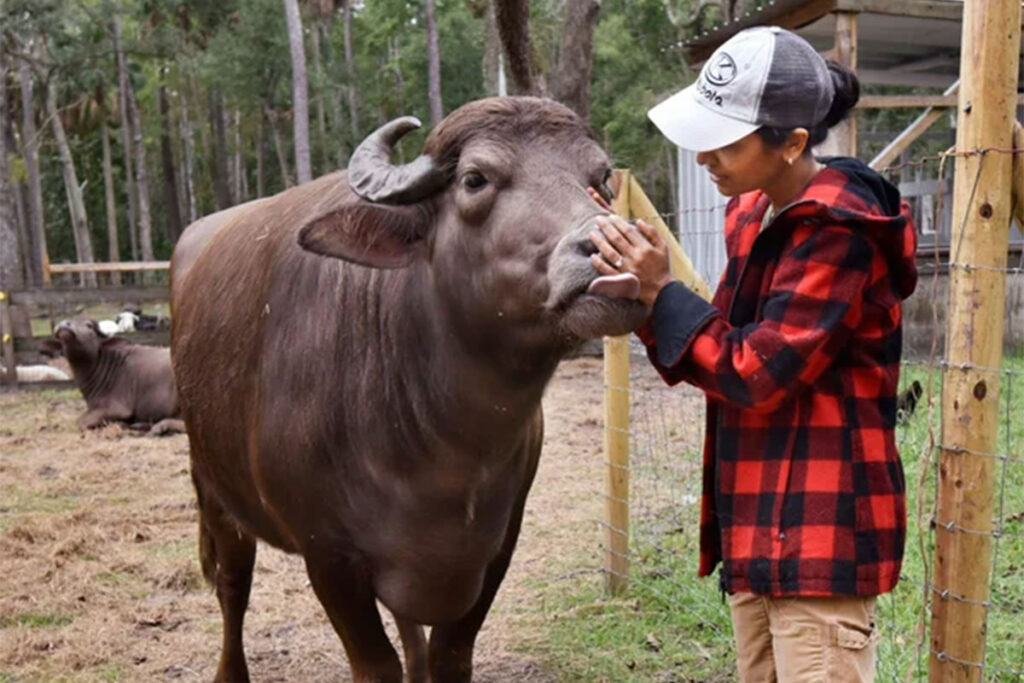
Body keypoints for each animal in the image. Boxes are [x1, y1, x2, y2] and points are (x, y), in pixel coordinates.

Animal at [168, 97, 647, 683]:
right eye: (474, 178)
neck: (446, 447)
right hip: (213, 489)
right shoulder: (328, 557)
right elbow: (377, 664)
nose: (609, 250)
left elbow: (448, 656)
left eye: (600, 178)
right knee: (232, 589)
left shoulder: (496, 544)